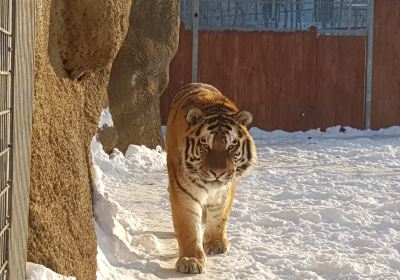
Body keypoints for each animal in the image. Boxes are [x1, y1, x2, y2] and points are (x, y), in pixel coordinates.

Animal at [165, 82, 256, 274]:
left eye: (232, 145)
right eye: (205, 145)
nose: (218, 172)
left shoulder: (226, 188)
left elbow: (219, 215)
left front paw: (215, 243)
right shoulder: (183, 191)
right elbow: (188, 225)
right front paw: (190, 259)